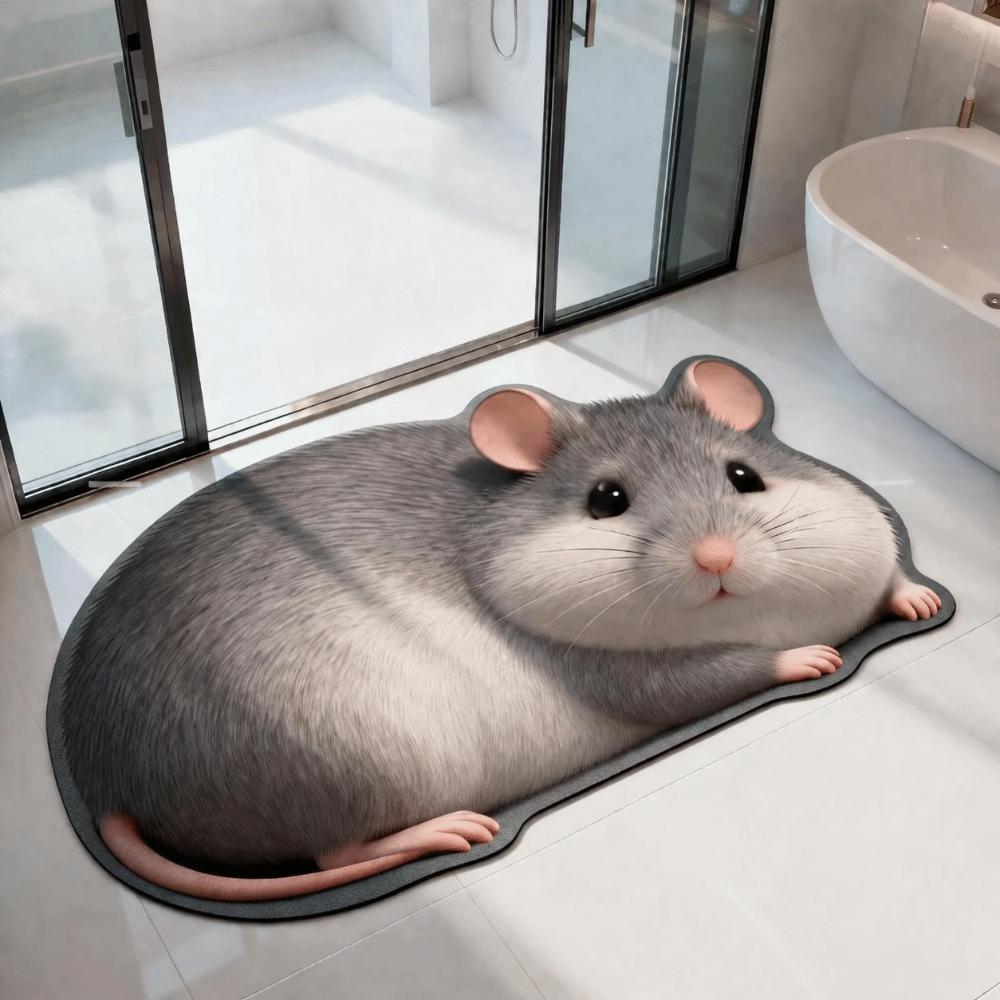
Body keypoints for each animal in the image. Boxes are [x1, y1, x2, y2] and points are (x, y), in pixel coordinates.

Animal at [63, 359, 941, 901]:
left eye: (745, 475)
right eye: (606, 501)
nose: (716, 557)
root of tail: (107, 781)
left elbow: (889, 572)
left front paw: (919, 602)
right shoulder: (626, 674)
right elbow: (715, 674)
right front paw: (809, 656)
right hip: (377, 757)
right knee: (337, 853)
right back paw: (451, 830)